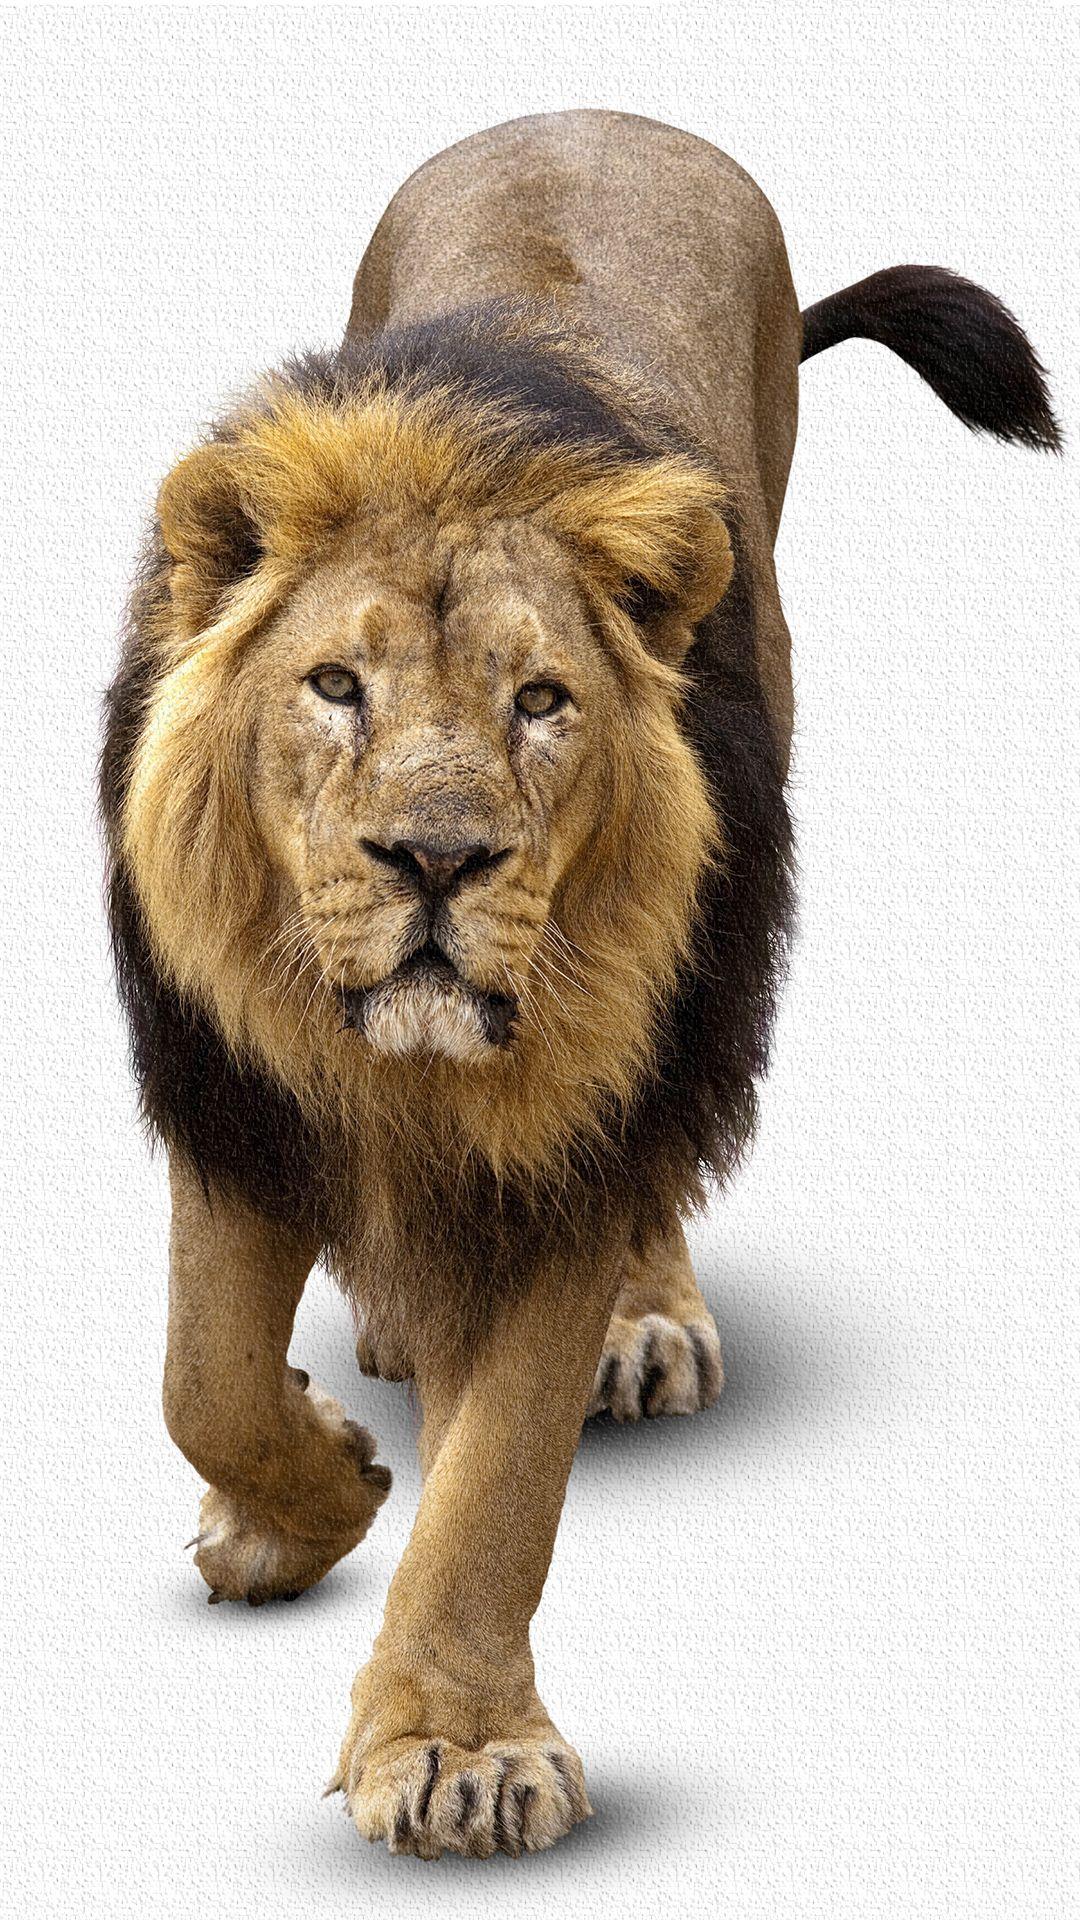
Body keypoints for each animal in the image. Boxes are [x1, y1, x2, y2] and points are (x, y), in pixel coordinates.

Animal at [100, 111, 1059, 1860]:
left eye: (541, 702)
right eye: (334, 686)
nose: (436, 859)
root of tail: (599, 114)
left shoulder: (575, 1128)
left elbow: (497, 1487)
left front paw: (457, 1747)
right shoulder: (233, 1086)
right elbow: (204, 1377)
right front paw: (306, 1499)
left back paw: (645, 1320)